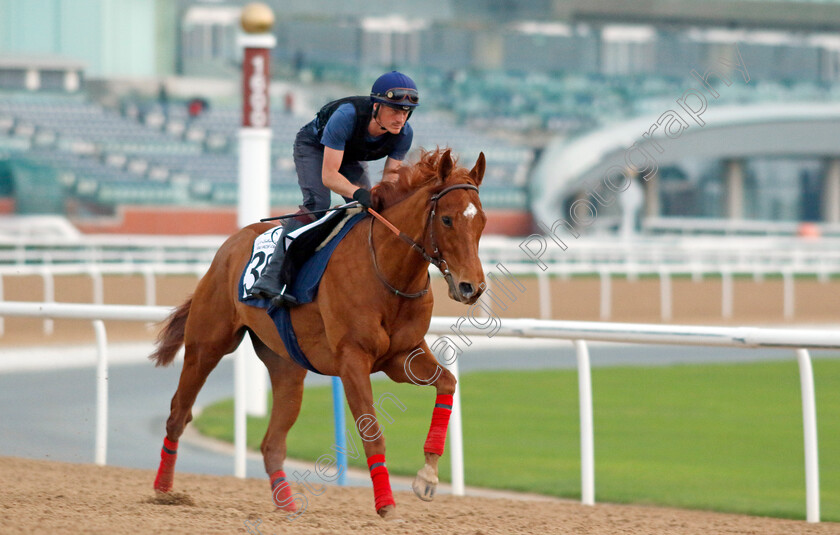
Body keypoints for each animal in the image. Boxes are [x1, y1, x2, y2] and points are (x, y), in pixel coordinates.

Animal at [151, 149, 486, 520]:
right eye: (447, 220)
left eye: (482, 221)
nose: (471, 287)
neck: (387, 271)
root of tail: (230, 245)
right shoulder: (352, 359)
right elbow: (372, 432)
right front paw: (386, 504)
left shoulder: (402, 357)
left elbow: (448, 383)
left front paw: (427, 477)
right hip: (207, 344)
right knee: (178, 415)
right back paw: (163, 490)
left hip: (286, 366)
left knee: (271, 443)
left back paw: (287, 504)